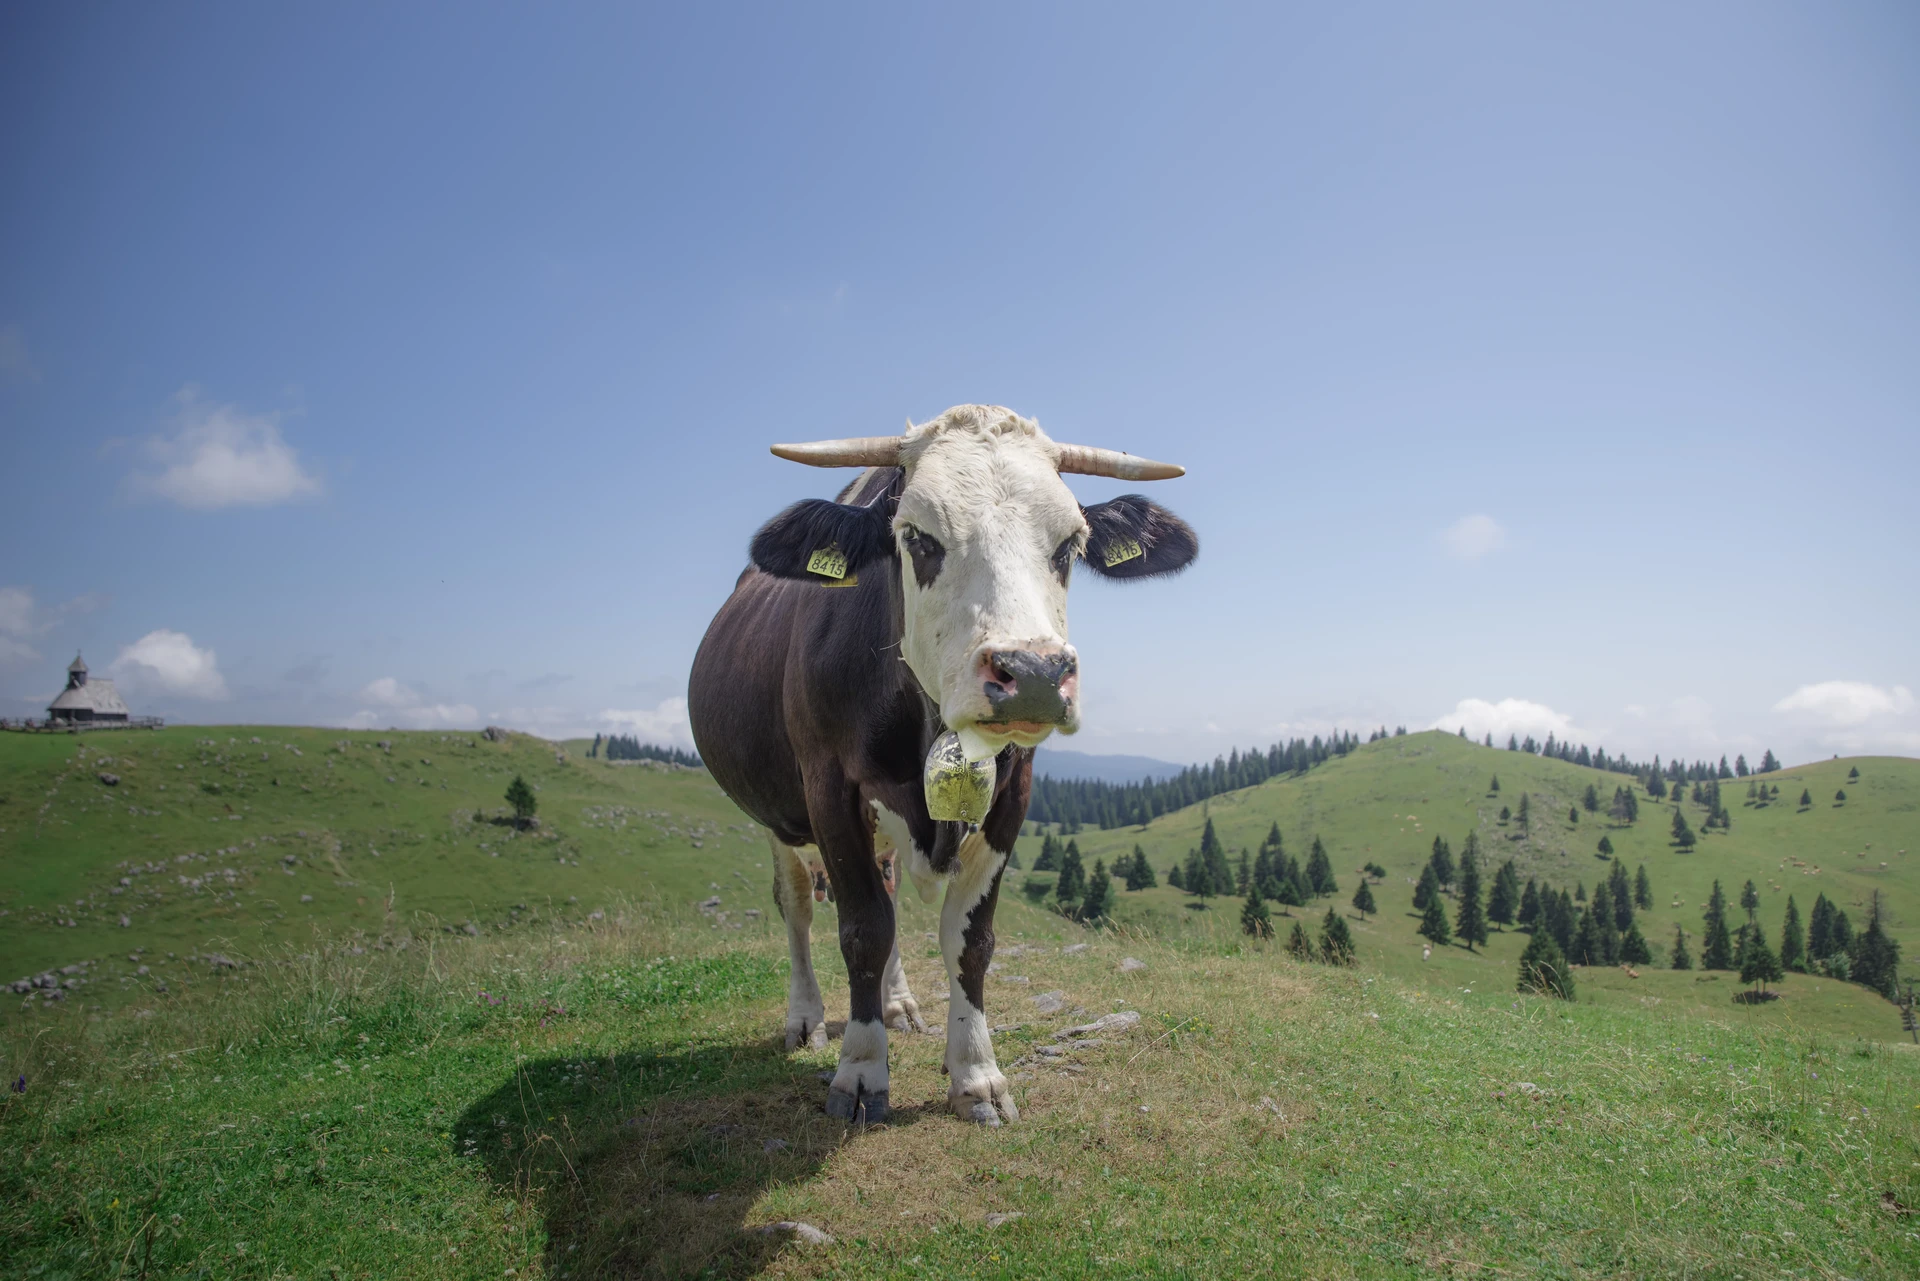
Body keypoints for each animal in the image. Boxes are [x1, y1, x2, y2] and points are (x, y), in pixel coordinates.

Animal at [688, 405, 1196, 1125]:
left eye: (1070, 544)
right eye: (917, 537)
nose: (1033, 672)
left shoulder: (1014, 794)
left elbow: (968, 938)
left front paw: (977, 1075)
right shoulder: (828, 789)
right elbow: (861, 930)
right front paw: (861, 1074)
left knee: (887, 889)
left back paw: (898, 1002)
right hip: (778, 818)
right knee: (799, 906)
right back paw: (807, 1017)